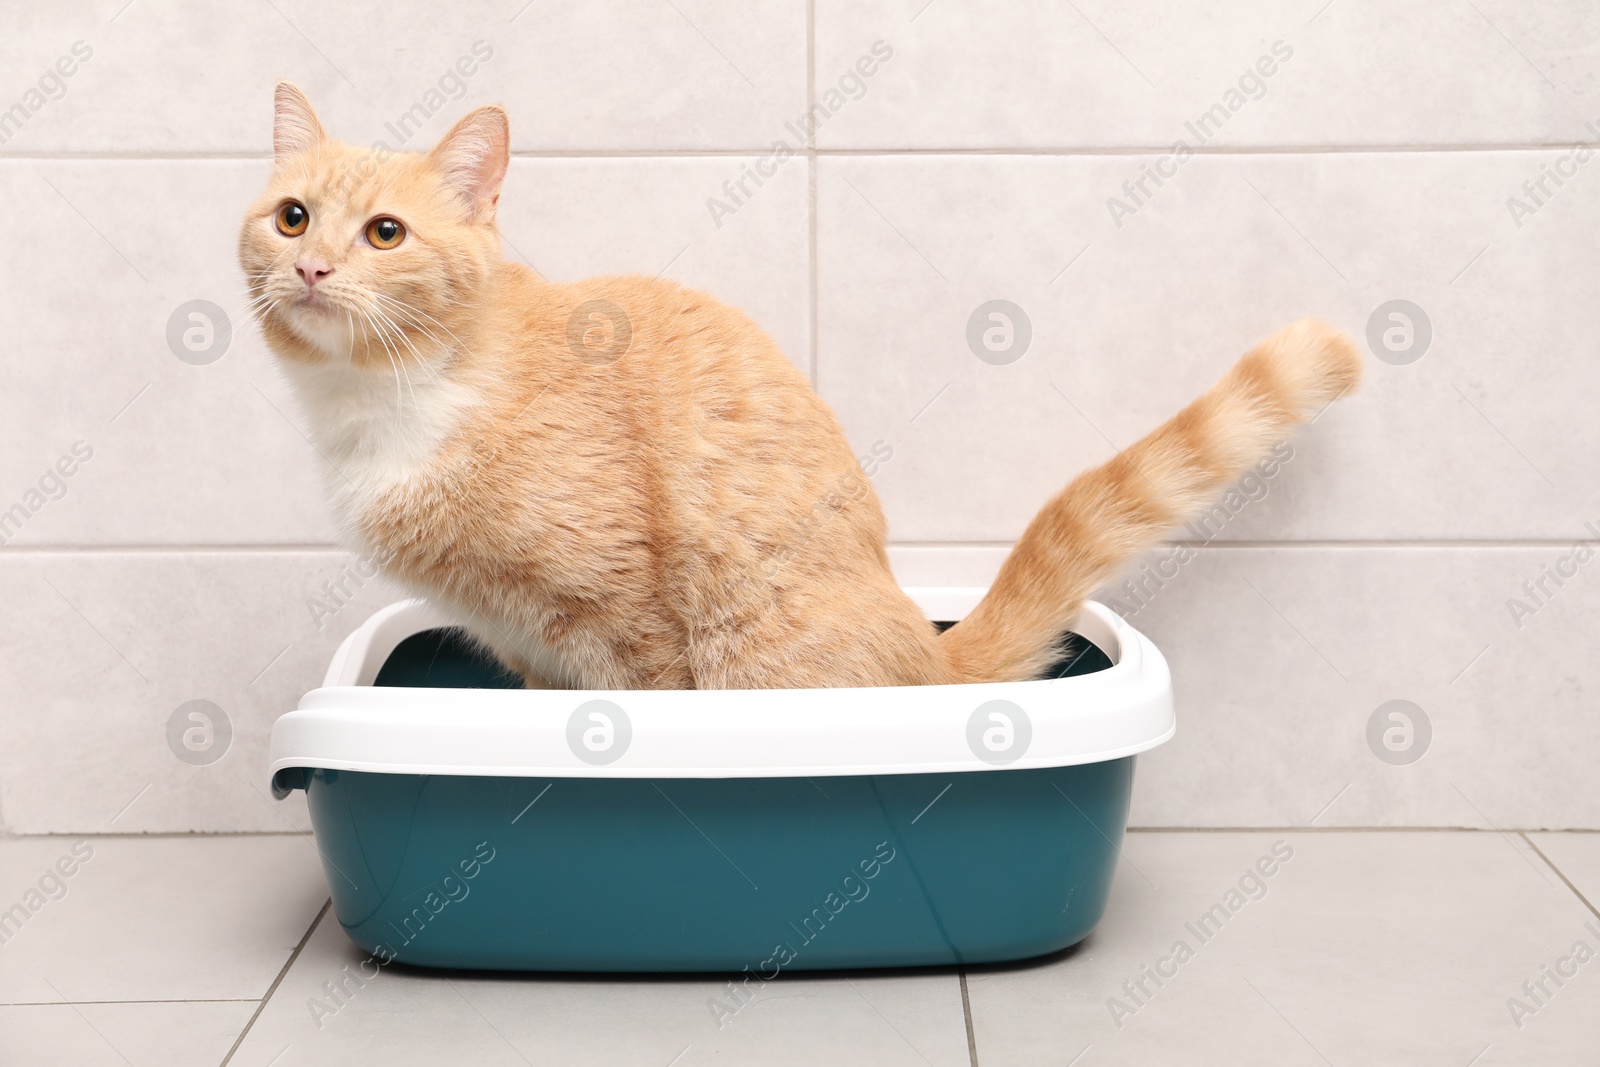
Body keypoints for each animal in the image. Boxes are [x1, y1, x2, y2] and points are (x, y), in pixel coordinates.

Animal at [240, 89, 1363, 694]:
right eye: (292, 217)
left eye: (385, 233)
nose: (313, 268)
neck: (388, 395)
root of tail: (925, 654)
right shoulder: (531, 647)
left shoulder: (628, 617)